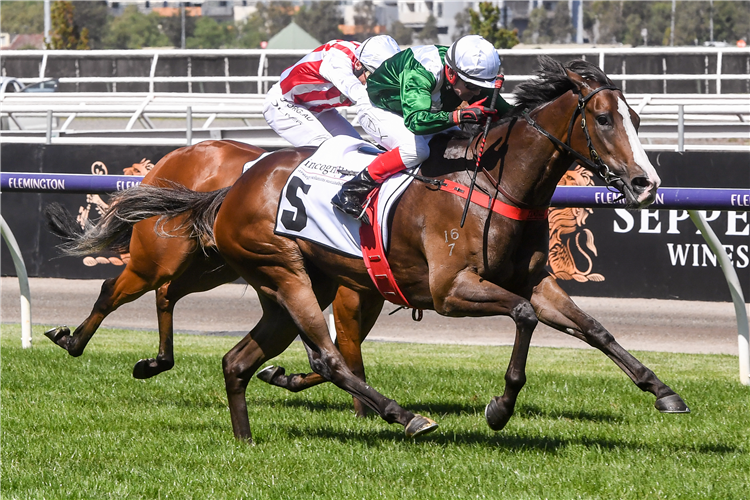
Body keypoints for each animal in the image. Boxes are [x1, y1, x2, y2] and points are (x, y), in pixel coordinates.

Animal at [55, 57, 692, 442]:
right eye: (604, 118)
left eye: (636, 118)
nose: (646, 184)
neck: (494, 180)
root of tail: (231, 188)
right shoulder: (450, 290)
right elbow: (523, 316)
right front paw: (500, 406)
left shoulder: (535, 279)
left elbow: (593, 328)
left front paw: (663, 391)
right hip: (274, 271)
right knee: (324, 356)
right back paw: (403, 416)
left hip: (281, 285)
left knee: (237, 358)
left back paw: (244, 435)